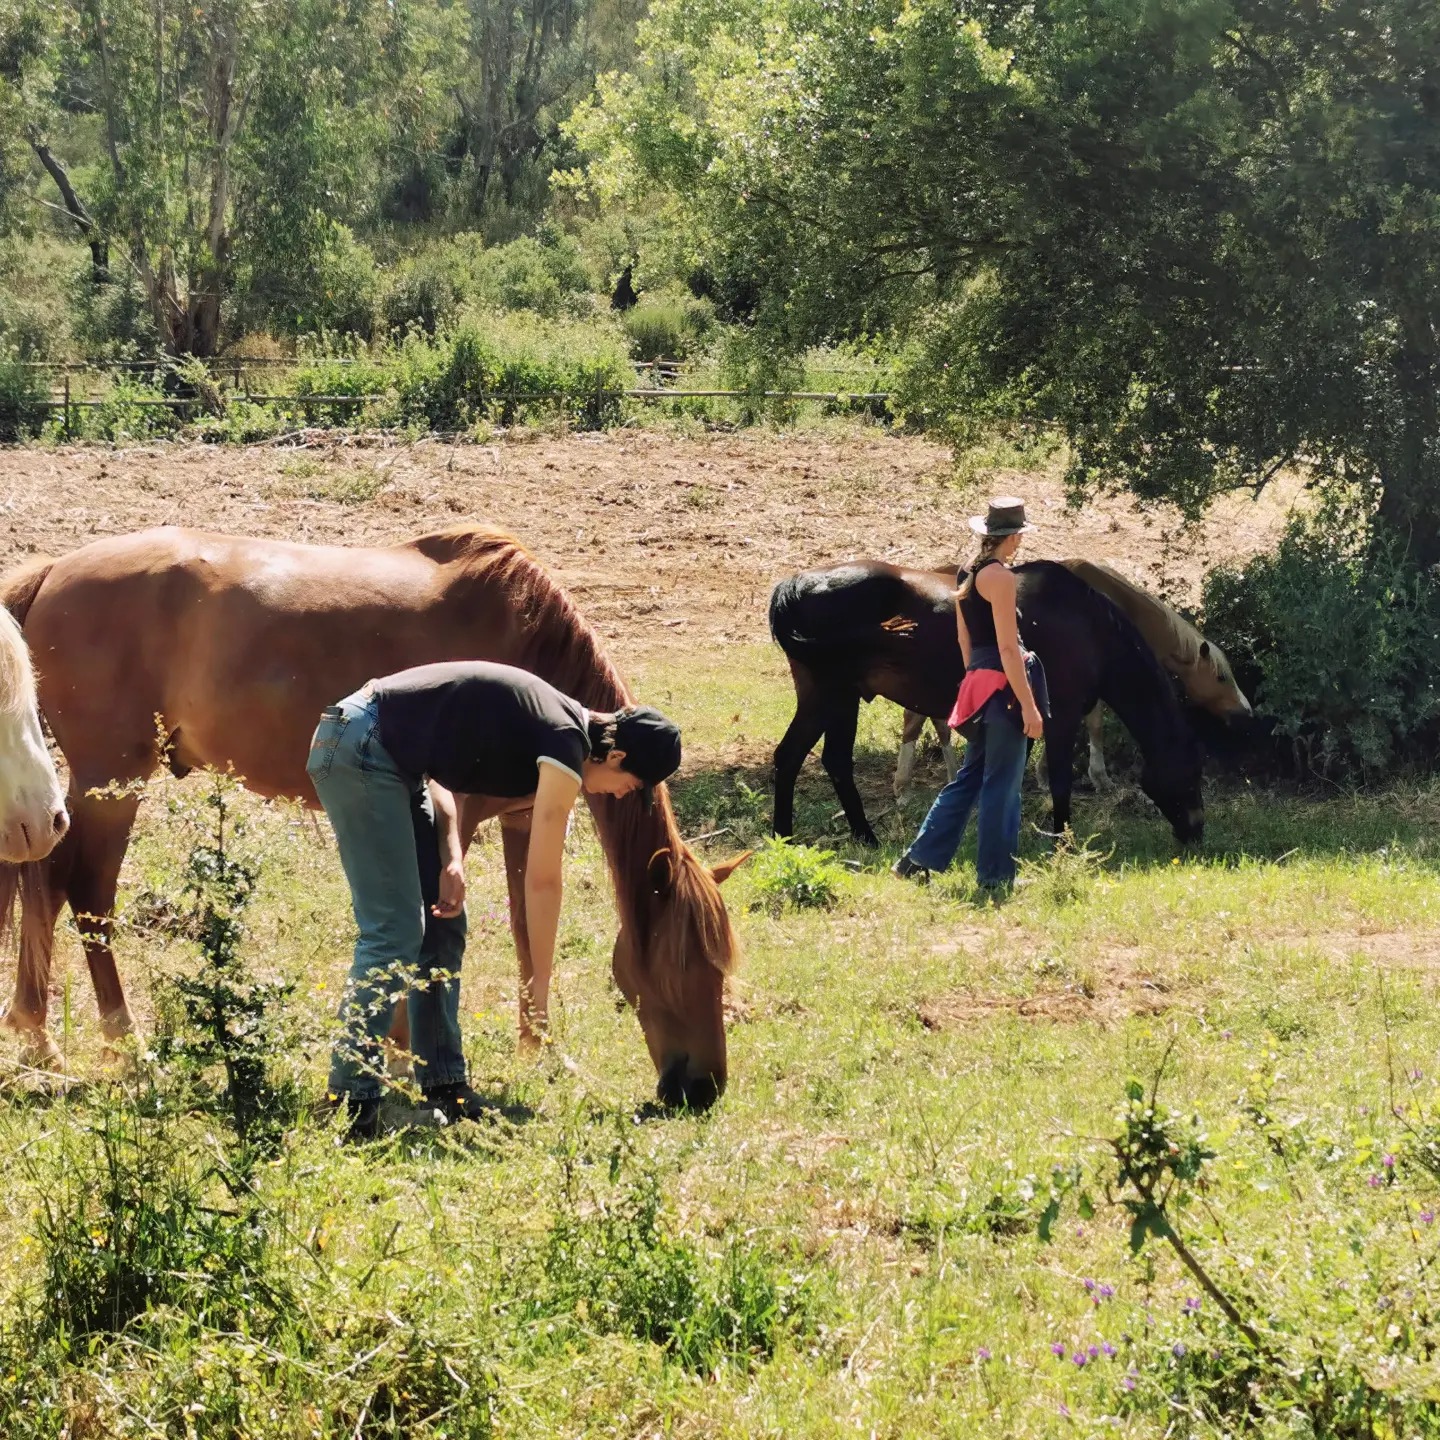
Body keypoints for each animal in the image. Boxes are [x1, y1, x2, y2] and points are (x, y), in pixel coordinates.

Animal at [771, 558, 1209, 852]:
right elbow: (1059, 780)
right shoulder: (1061, 717)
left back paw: (817, 837)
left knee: (811, 759)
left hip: (833, 700)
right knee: (812, 759)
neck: (1089, 628)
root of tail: (794, 585)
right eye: (1190, 773)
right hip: (833, 696)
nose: (1196, 832)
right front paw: (1062, 841)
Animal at [887, 555, 1249, 794]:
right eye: (1221, 678)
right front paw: (1096, 777)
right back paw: (904, 786)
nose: (1245, 711)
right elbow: (1094, 726)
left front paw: (1045, 775)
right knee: (916, 720)